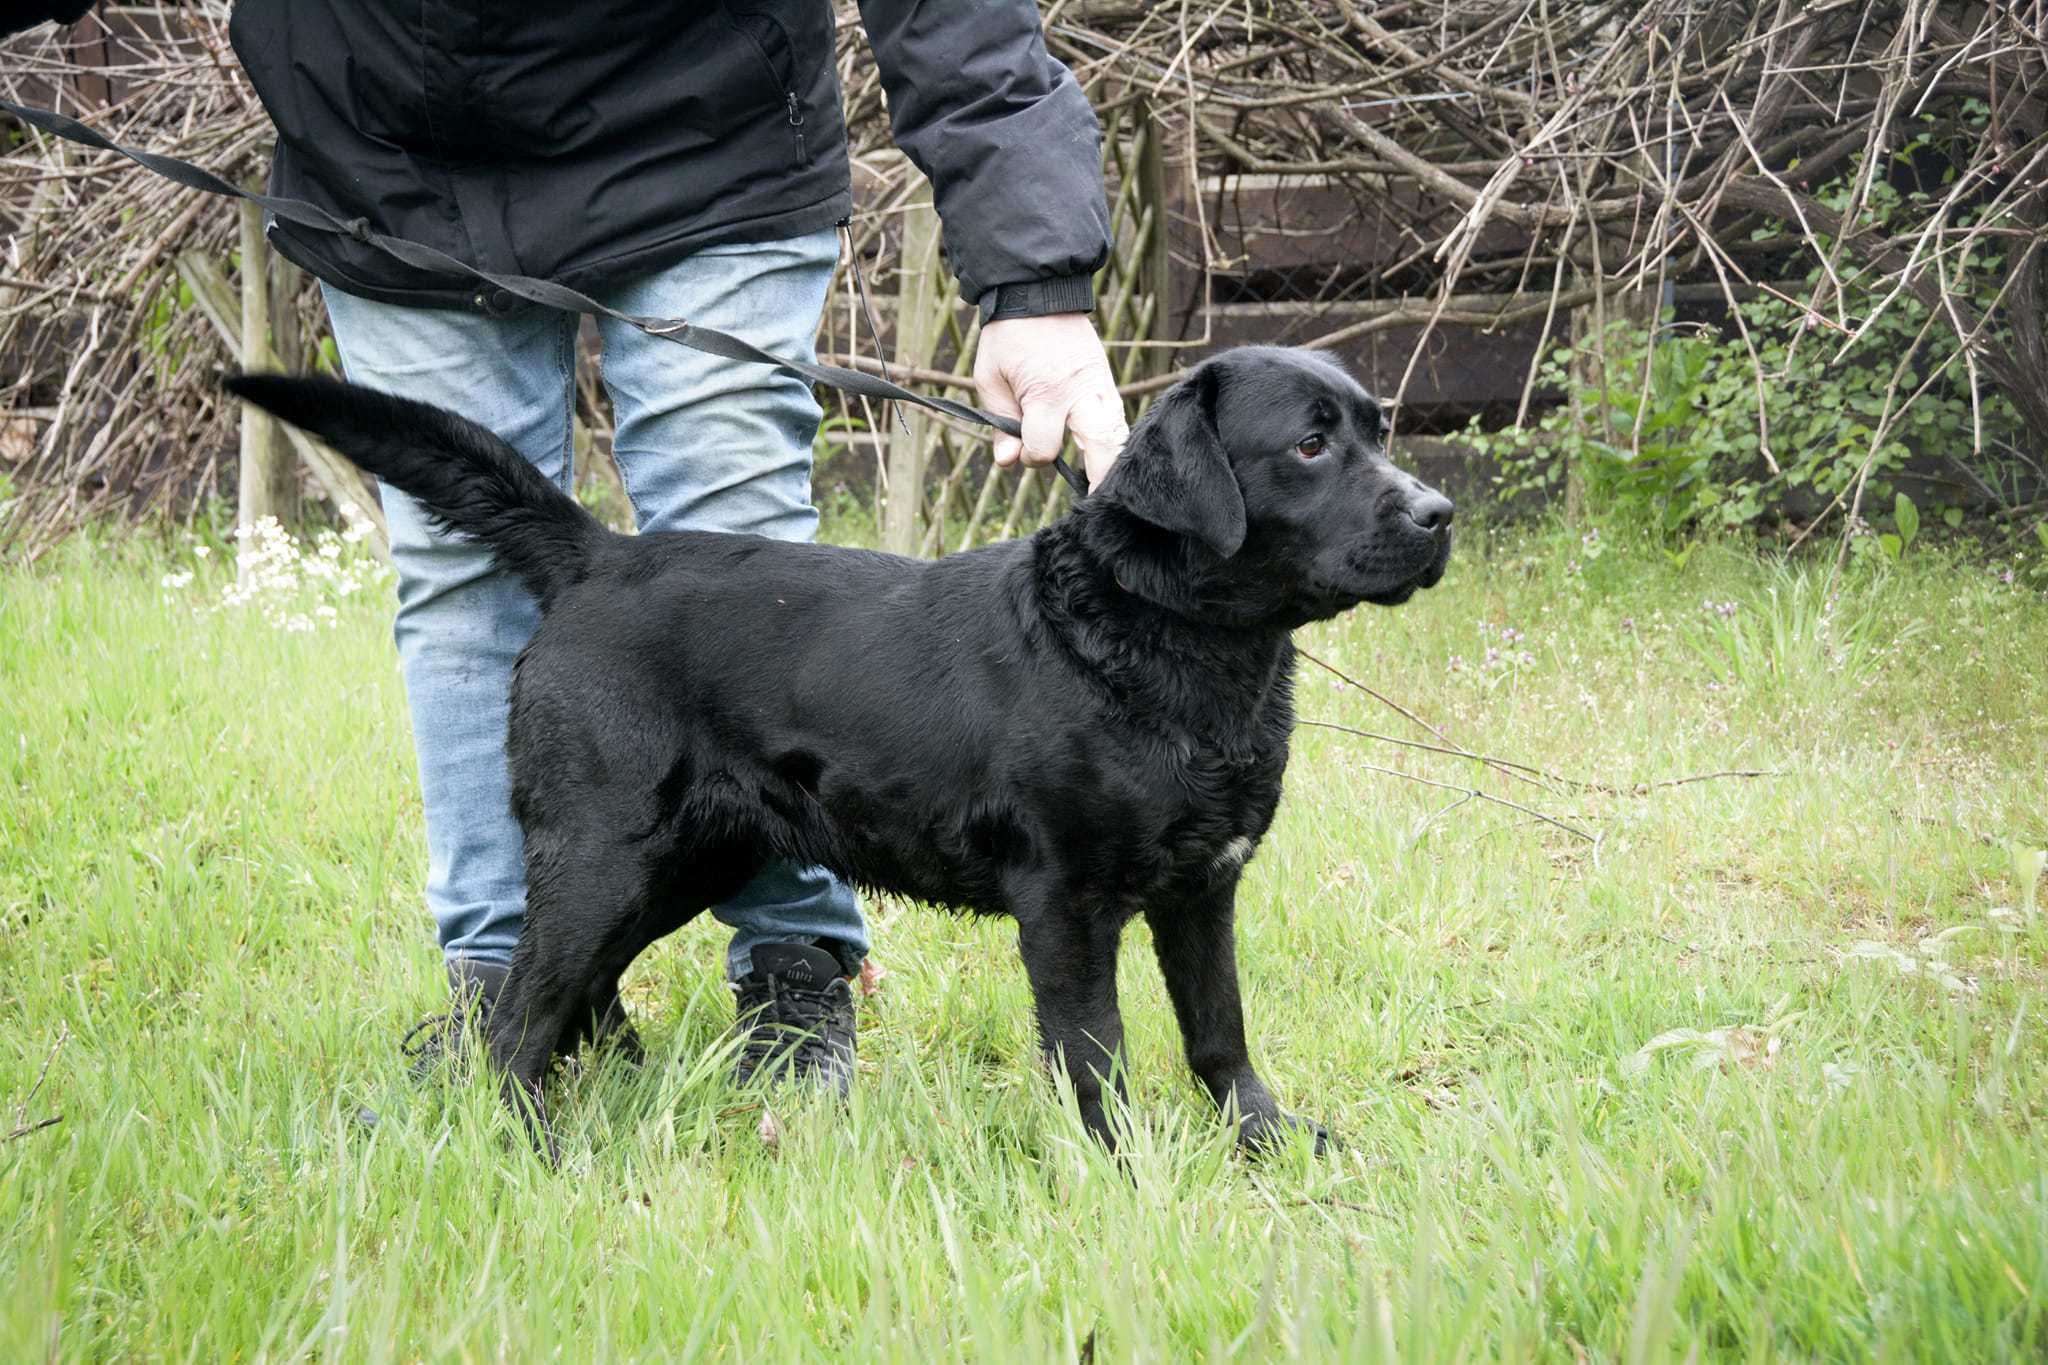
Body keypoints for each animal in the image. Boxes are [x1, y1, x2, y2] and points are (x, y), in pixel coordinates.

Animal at [228, 347, 1458, 1162]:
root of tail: (596, 556)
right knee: (521, 1012)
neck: (1157, 642)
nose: (1439, 511)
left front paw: (1271, 1141)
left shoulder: (1204, 888)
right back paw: (531, 1149)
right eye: (1309, 445)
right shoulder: (1067, 904)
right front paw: (1121, 1168)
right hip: (601, 853)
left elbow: (1219, 1032)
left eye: (1378, 431)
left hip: (683, 861)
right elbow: (1093, 1052)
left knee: (578, 993)